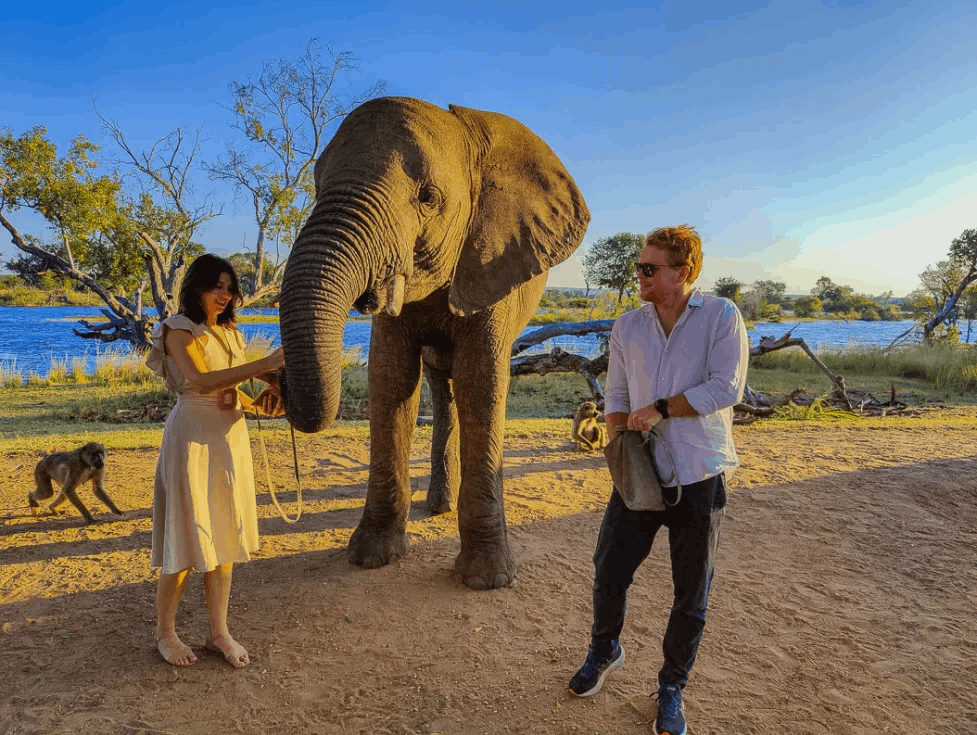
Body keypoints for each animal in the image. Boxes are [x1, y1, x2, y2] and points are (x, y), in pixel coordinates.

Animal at [278, 98, 592, 592]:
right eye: (316, 186)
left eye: (427, 198)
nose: (277, 376)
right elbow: (391, 379)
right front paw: (371, 557)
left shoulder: (493, 263)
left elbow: (482, 383)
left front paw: (486, 580)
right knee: (442, 393)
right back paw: (438, 506)